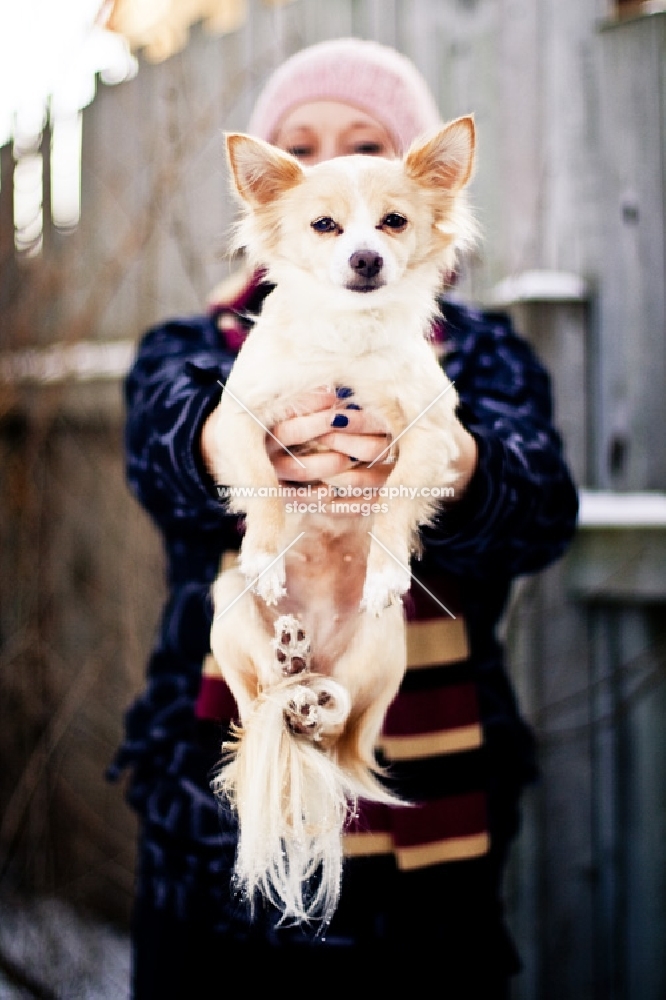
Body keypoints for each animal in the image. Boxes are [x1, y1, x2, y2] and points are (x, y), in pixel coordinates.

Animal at [210, 119, 474, 928]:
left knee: (337, 718)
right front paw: (269, 551)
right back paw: (290, 664)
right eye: (325, 226)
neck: (346, 341)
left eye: (393, 222)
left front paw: (388, 562)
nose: (366, 259)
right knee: (263, 696)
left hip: (380, 654)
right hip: (224, 611)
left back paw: (316, 693)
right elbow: (266, 488)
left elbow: (392, 501)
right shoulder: (235, 425)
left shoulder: (433, 438)